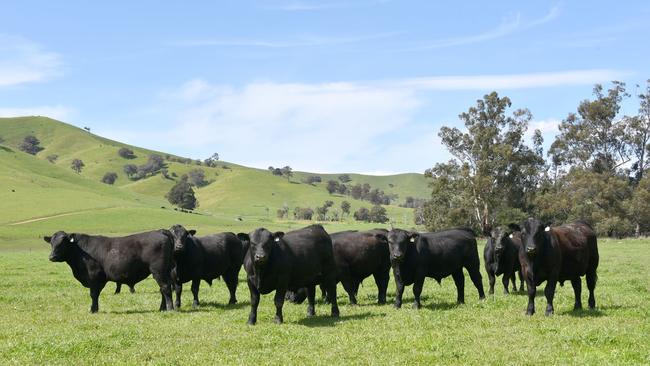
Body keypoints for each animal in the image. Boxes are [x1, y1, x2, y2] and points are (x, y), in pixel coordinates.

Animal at [42, 232, 175, 312]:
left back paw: (170, 309)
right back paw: (161, 308)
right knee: (163, 289)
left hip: (159, 271)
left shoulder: (94, 276)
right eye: (52, 243)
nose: (52, 257)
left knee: (165, 288)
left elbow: (93, 294)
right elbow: (96, 294)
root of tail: (160, 231)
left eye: (62, 243)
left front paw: (93, 310)